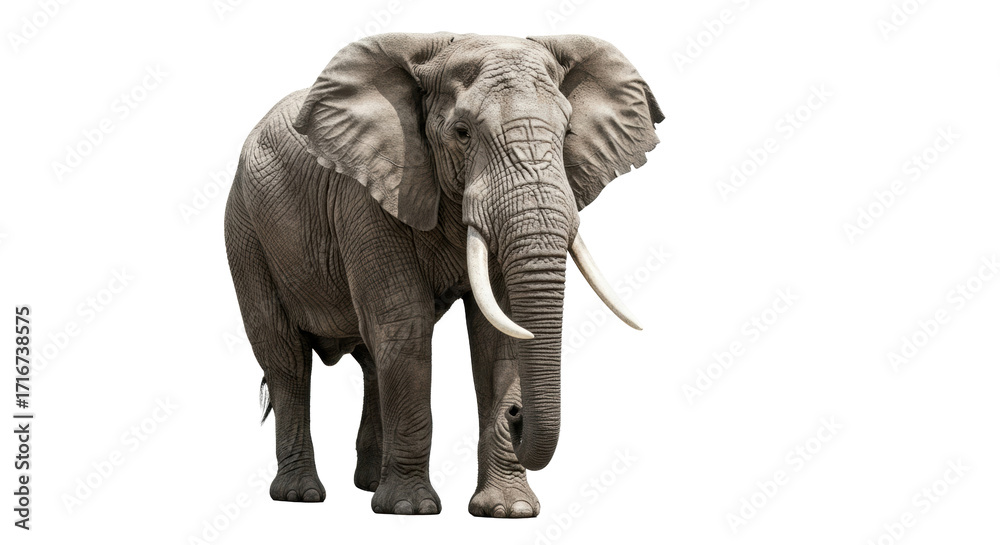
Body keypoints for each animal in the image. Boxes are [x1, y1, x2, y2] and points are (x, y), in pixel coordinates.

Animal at [224, 32, 662, 517]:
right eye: (462, 132)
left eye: (567, 133)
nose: (517, 416)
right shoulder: (367, 193)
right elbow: (406, 323)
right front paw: (409, 509)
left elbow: (500, 335)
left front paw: (508, 511)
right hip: (245, 232)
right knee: (287, 359)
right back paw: (301, 495)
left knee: (371, 359)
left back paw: (367, 485)